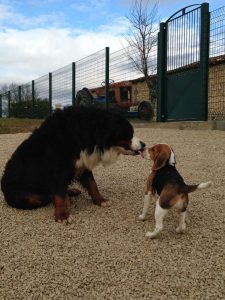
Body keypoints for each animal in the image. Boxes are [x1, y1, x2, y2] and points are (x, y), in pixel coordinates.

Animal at [1, 105, 146, 220]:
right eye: (129, 133)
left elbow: (93, 185)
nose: (144, 144)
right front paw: (62, 214)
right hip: (23, 195)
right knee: (45, 196)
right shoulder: (57, 170)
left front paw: (100, 200)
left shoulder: (83, 164)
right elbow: (59, 193)